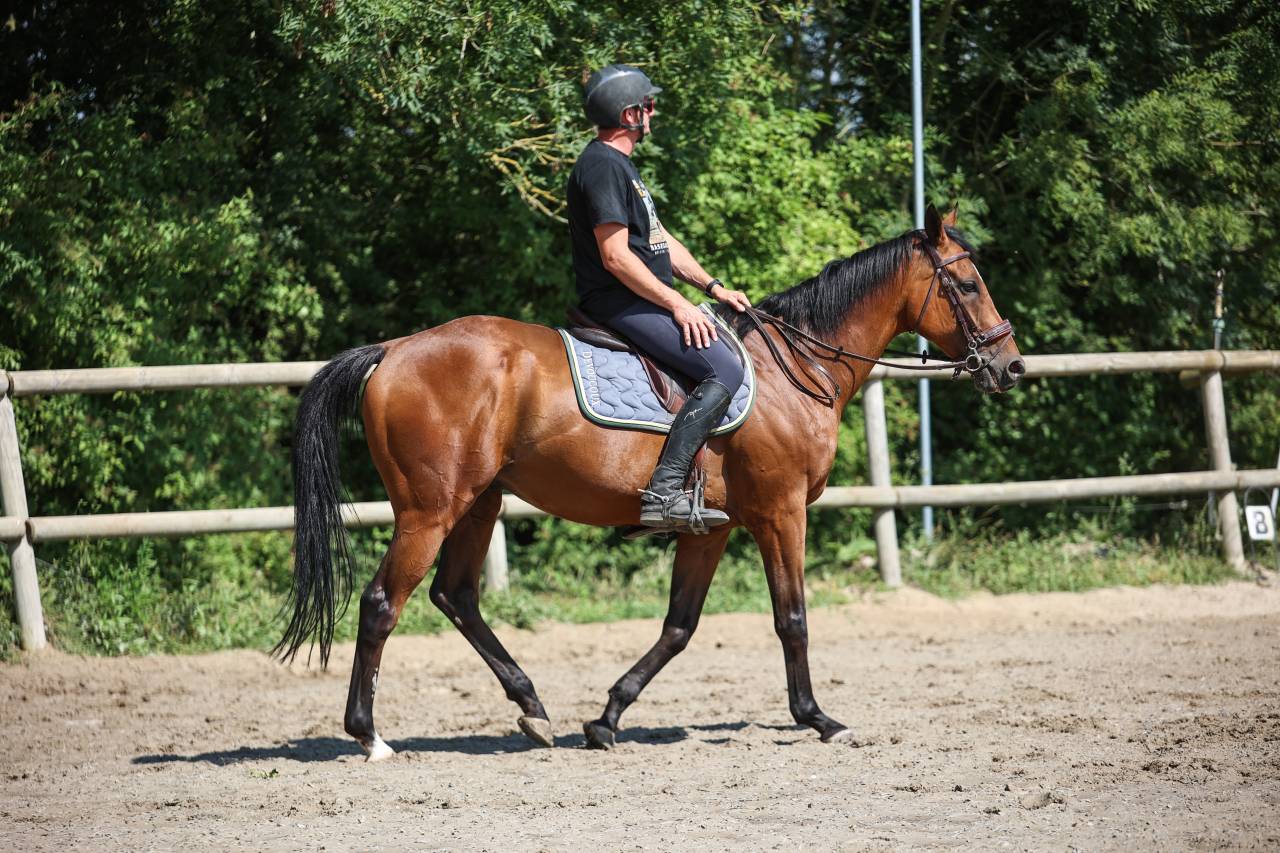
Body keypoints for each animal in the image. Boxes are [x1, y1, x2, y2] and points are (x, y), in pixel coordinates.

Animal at [275, 206, 1024, 761]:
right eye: (967, 284)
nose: (1010, 366)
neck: (792, 370)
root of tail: (394, 350)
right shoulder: (780, 512)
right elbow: (793, 618)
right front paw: (818, 717)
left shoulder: (713, 529)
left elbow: (679, 626)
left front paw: (607, 717)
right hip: (431, 508)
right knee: (383, 602)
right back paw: (370, 736)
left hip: (479, 501)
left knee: (455, 596)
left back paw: (534, 709)